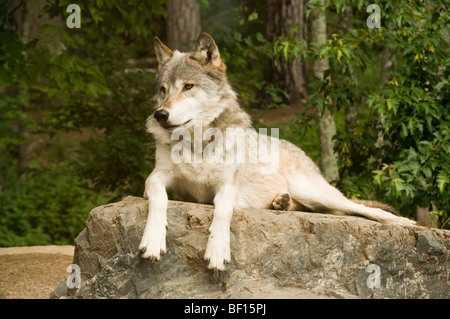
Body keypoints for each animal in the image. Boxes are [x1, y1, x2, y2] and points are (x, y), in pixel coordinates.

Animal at [139, 32, 416, 272]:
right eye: (163, 90)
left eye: (188, 87)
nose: (160, 114)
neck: (197, 145)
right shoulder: (156, 178)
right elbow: (159, 199)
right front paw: (153, 239)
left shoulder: (227, 186)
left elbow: (223, 209)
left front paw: (217, 250)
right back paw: (281, 203)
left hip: (315, 192)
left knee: (360, 208)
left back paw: (404, 222)